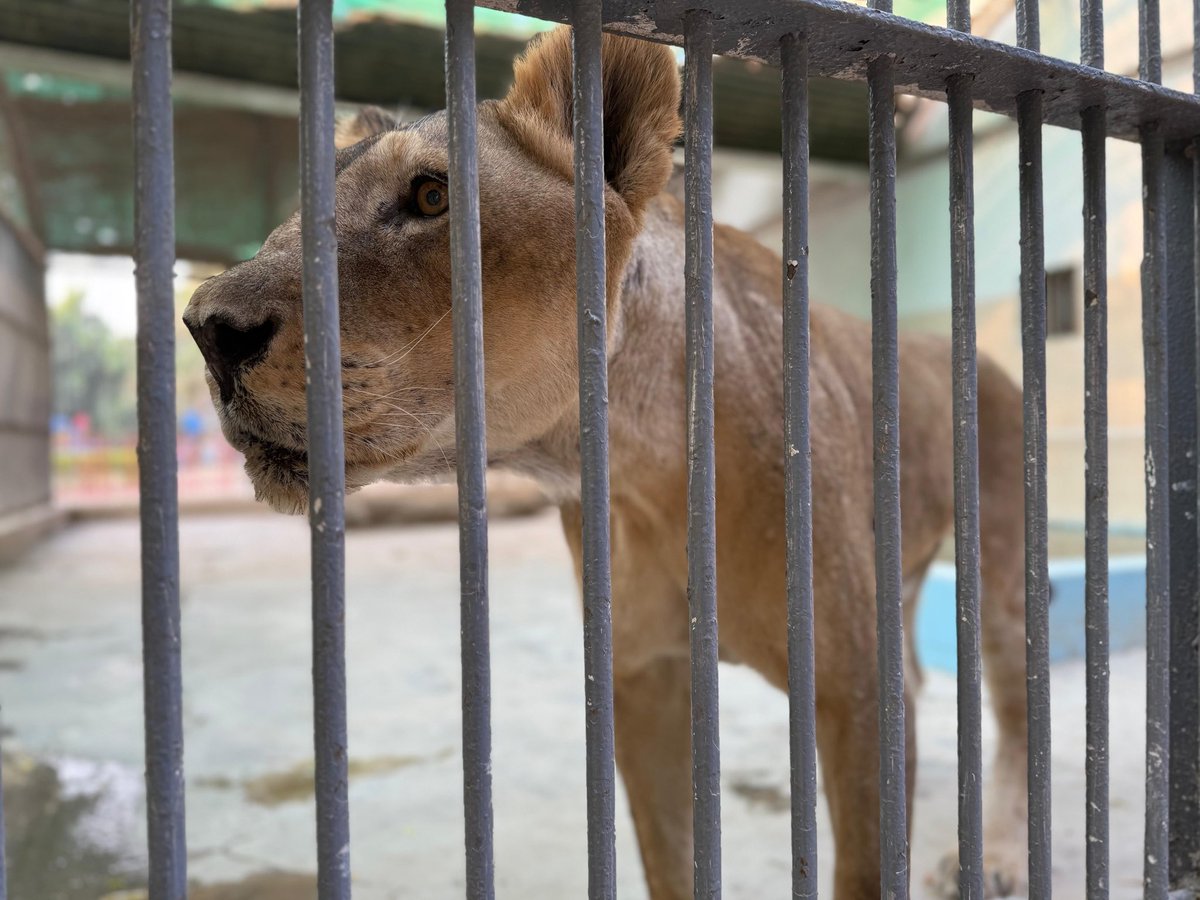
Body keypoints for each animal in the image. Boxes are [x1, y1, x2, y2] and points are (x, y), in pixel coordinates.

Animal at [183, 27, 1029, 899]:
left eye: (430, 197)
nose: (207, 326)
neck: (642, 472)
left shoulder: (853, 689)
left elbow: (863, 862)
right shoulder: (644, 681)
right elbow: (674, 862)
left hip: (998, 576)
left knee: (1012, 711)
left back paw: (994, 857)